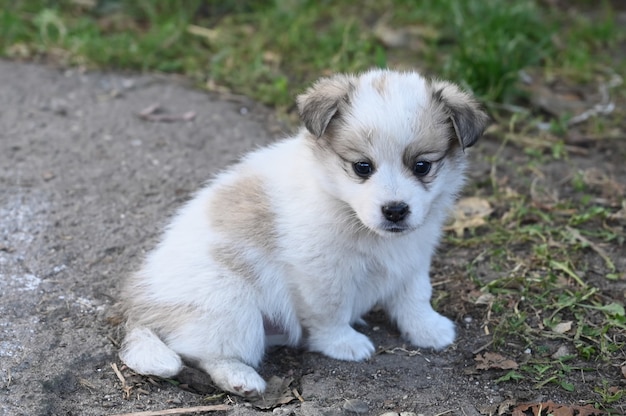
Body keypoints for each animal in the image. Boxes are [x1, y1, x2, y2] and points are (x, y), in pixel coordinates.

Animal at [118, 68, 488, 396]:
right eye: (362, 167)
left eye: (422, 166)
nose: (395, 210)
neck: (347, 210)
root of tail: (141, 306)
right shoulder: (322, 272)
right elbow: (331, 311)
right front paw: (344, 343)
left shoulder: (413, 256)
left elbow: (415, 296)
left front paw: (427, 328)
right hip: (231, 304)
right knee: (206, 354)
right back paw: (240, 378)